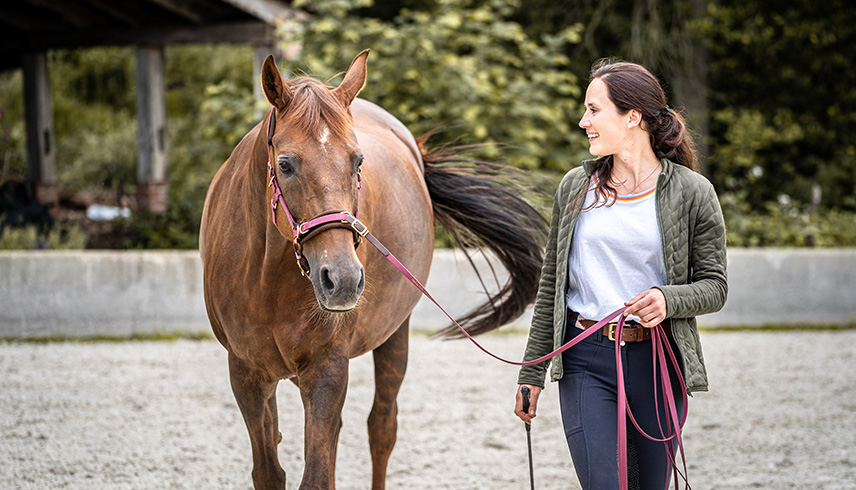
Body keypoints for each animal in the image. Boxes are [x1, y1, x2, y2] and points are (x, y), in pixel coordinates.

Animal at [200, 50, 546, 490]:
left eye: (358, 160)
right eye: (286, 164)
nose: (343, 279)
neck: (265, 280)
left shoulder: (328, 370)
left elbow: (317, 475)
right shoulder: (246, 375)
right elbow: (269, 472)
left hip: (395, 334)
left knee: (381, 427)